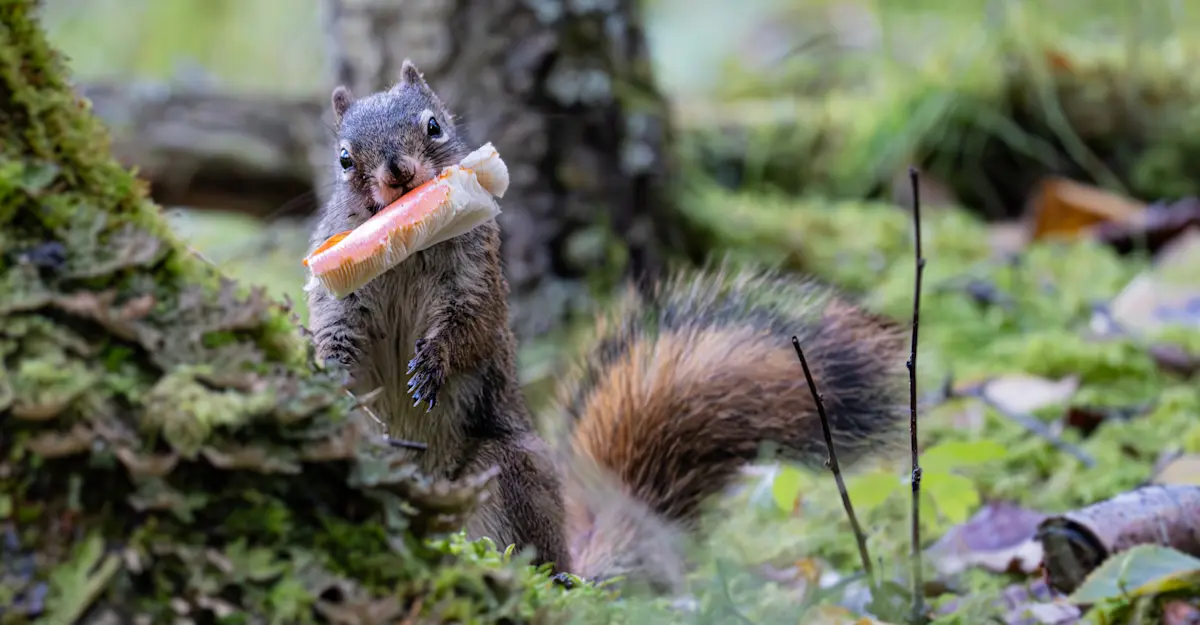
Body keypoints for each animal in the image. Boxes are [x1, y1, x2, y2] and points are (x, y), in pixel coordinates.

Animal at [306, 60, 909, 592]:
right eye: (344, 158)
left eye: (434, 125)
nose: (399, 173)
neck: (405, 248)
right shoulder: (338, 296)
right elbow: (335, 335)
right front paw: (328, 374)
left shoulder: (478, 279)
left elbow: (470, 328)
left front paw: (432, 364)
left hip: (507, 473)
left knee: (531, 552)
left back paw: (551, 577)